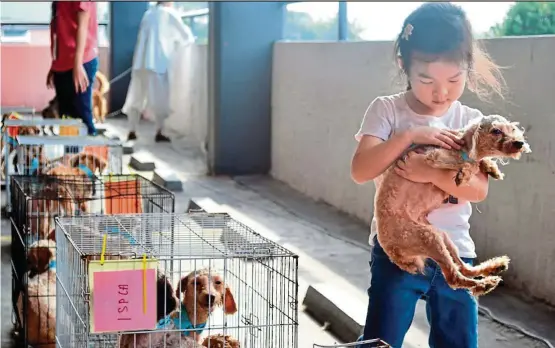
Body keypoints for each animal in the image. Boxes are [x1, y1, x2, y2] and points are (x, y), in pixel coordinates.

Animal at [376, 115, 532, 294]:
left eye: (512, 129)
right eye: (496, 131)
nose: (519, 143)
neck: (462, 145)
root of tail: (395, 255)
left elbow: (478, 162)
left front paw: (491, 167)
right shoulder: (433, 156)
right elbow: (470, 164)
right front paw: (465, 173)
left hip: (442, 237)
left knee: (465, 268)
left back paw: (495, 267)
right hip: (427, 237)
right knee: (454, 278)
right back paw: (484, 284)